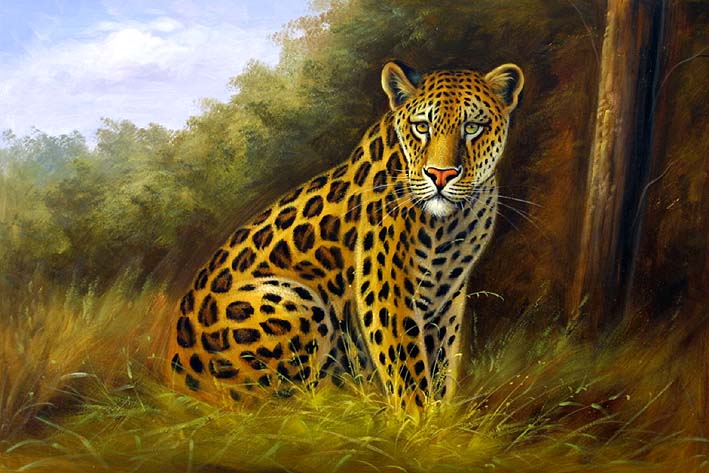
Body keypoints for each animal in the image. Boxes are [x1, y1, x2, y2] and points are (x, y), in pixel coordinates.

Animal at [166, 60, 524, 411]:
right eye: (422, 127)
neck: (450, 223)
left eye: (472, 127)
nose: (441, 175)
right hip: (295, 302)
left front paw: (440, 416)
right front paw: (417, 422)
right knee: (280, 404)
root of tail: (174, 374)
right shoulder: (386, 288)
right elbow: (407, 369)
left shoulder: (447, 295)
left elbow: (439, 363)